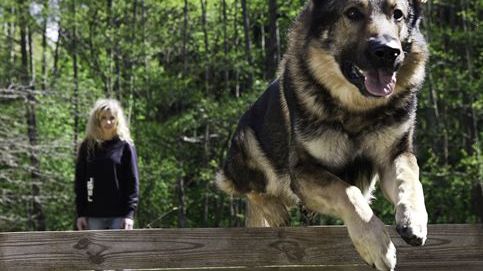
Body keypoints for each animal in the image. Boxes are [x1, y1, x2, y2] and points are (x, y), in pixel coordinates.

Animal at [217, 1, 430, 270]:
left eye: (398, 14)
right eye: (352, 13)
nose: (388, 52)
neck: (357, 109)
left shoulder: (395, 156)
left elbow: (410, 178)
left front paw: (414, 218)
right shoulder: (303, 172)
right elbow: (346, 192)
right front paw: (375, 243)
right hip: (247, 143)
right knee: (242, 186)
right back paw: (274, 209)